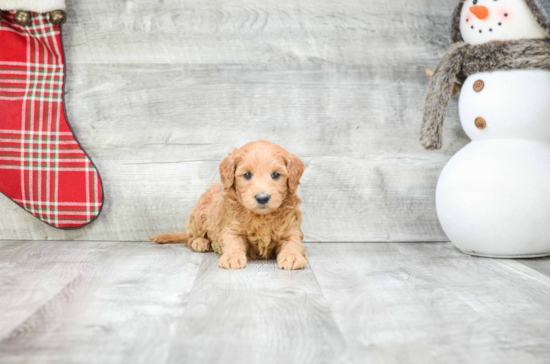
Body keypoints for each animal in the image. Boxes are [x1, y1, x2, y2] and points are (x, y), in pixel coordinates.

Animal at [149, 139, 308, 270]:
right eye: (247, 175)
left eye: (276, 175)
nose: (262, 198)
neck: (261, 217)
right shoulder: (232, 227)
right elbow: (233, 242)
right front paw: (232, 256)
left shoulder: (292, 229)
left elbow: (293, 243)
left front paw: (292, 256)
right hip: (200, 214)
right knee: (191, 238)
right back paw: (202, 243)